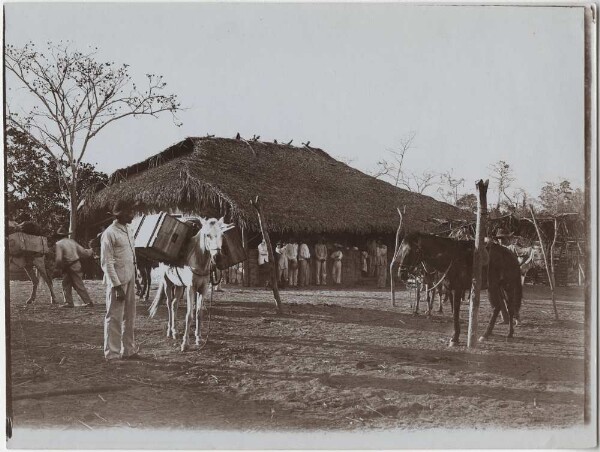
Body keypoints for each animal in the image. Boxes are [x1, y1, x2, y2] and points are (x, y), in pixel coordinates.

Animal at [148, 217, 230, 352]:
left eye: (222, 235)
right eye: (207, 235)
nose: (217, 257)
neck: (198, 261)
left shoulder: (202, 289)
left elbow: (199, 313)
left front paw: (198, 338)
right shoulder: (191, 289)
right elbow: (189, 315)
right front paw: (185, 343)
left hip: (180, 286)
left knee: (174, 304)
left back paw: (175, 332)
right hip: (168, 283)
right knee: (169, 304)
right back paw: (169, 331)